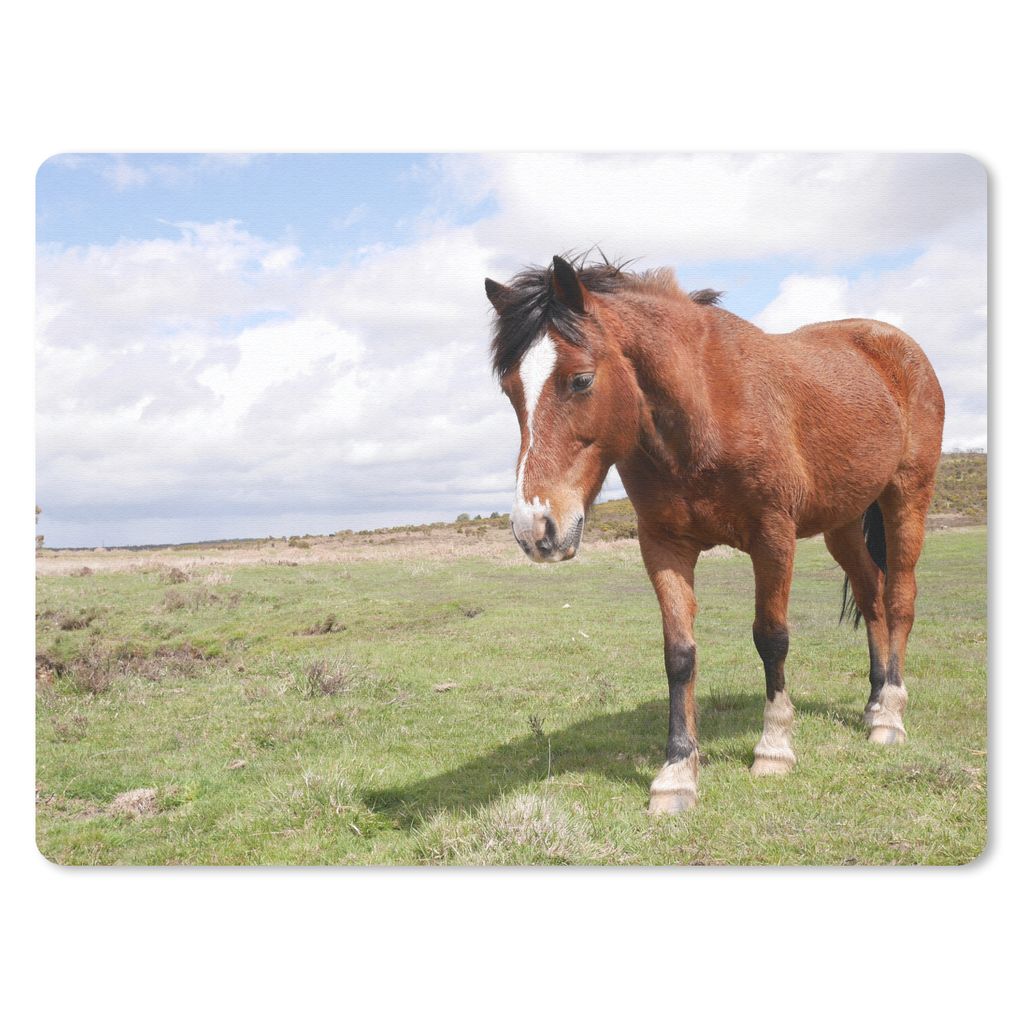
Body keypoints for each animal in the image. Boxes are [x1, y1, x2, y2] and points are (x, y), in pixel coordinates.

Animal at [484, 255, 945, 813]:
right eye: (510, 389)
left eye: (581, 380)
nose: (535, 529)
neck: (704, 413)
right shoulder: (663, 546)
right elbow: (679, 655)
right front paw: (677, 773)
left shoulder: (773, 537)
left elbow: (772, 638)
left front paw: (773, 748)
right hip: (843, 523)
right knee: (872, 597)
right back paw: (874, 704)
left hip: (906, 498)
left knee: (899, 599)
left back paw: (891, 715)